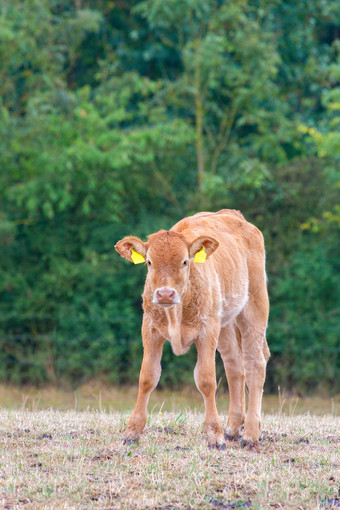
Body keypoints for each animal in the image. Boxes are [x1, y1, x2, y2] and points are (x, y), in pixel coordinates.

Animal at [115, 209, 270, 448]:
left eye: (185, 261)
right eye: (149, 262)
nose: (165, 294)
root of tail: (233, 214)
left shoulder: (207, 330)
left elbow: (206, 380)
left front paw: (214, 435)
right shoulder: (150, 328)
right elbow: (147, 377)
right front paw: (132, 431)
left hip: (254, 305)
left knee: (255, 363)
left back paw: (250, 434)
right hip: (224, 324)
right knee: (235, 366)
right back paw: (233, 428)